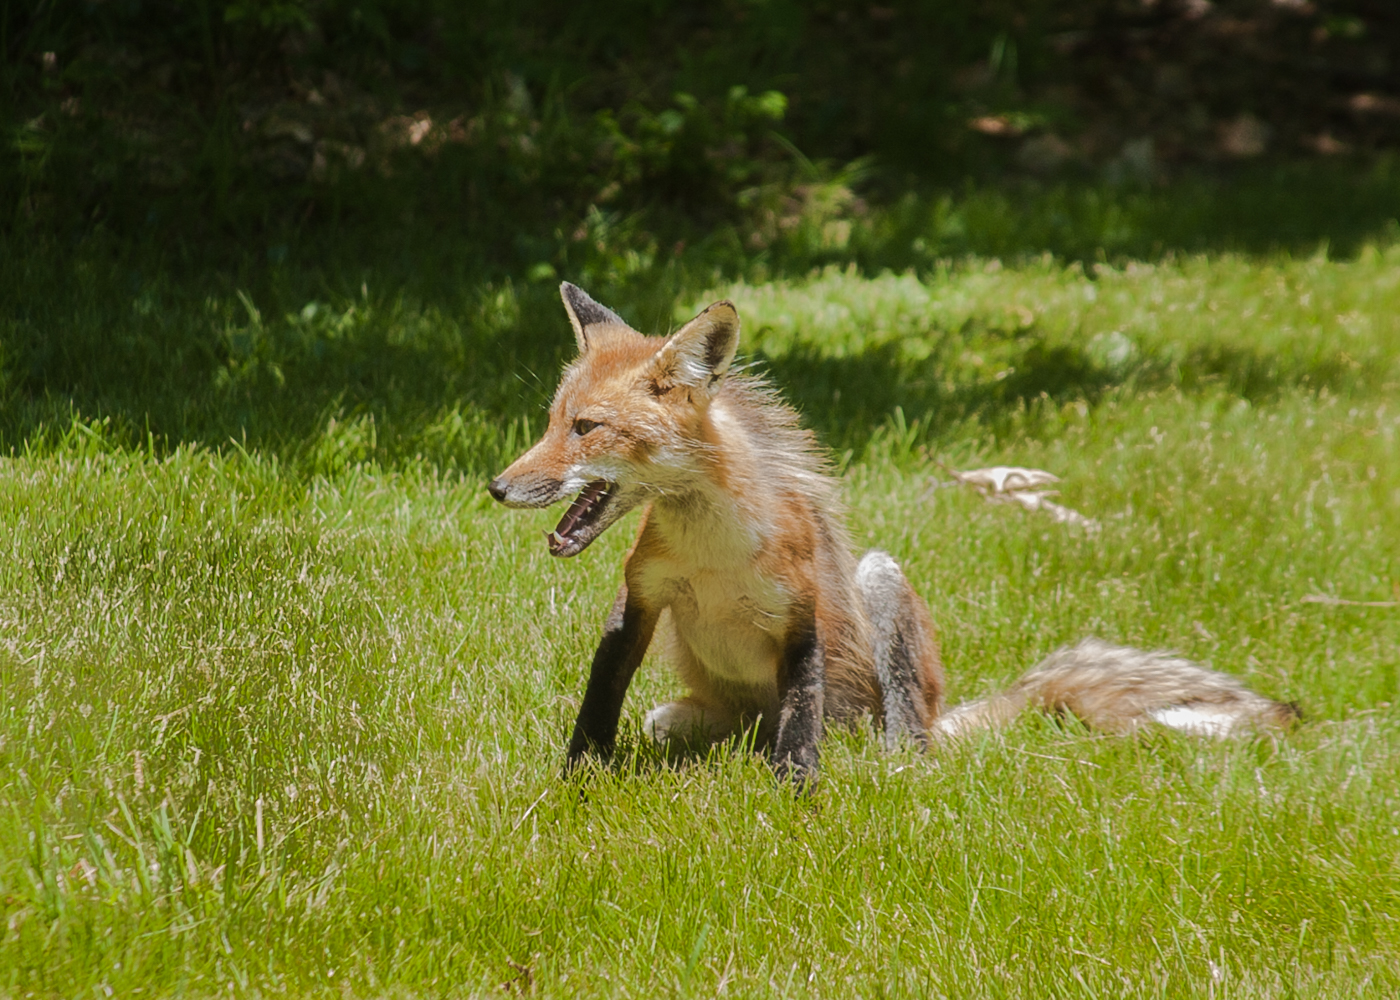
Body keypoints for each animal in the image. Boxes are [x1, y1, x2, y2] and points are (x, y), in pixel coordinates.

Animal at [487, 284, 1293, 784]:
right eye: (551, 422)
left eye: (586, 428)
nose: (495, 487)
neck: (714, 559)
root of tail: (941, 720)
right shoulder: (640, 597)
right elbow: (597, 706)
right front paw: (576, 783)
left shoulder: (801, 613)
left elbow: (800, 726)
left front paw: (795, 798)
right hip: (679, 718)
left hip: (879, 588)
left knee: (900, 739)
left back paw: (894, 765)